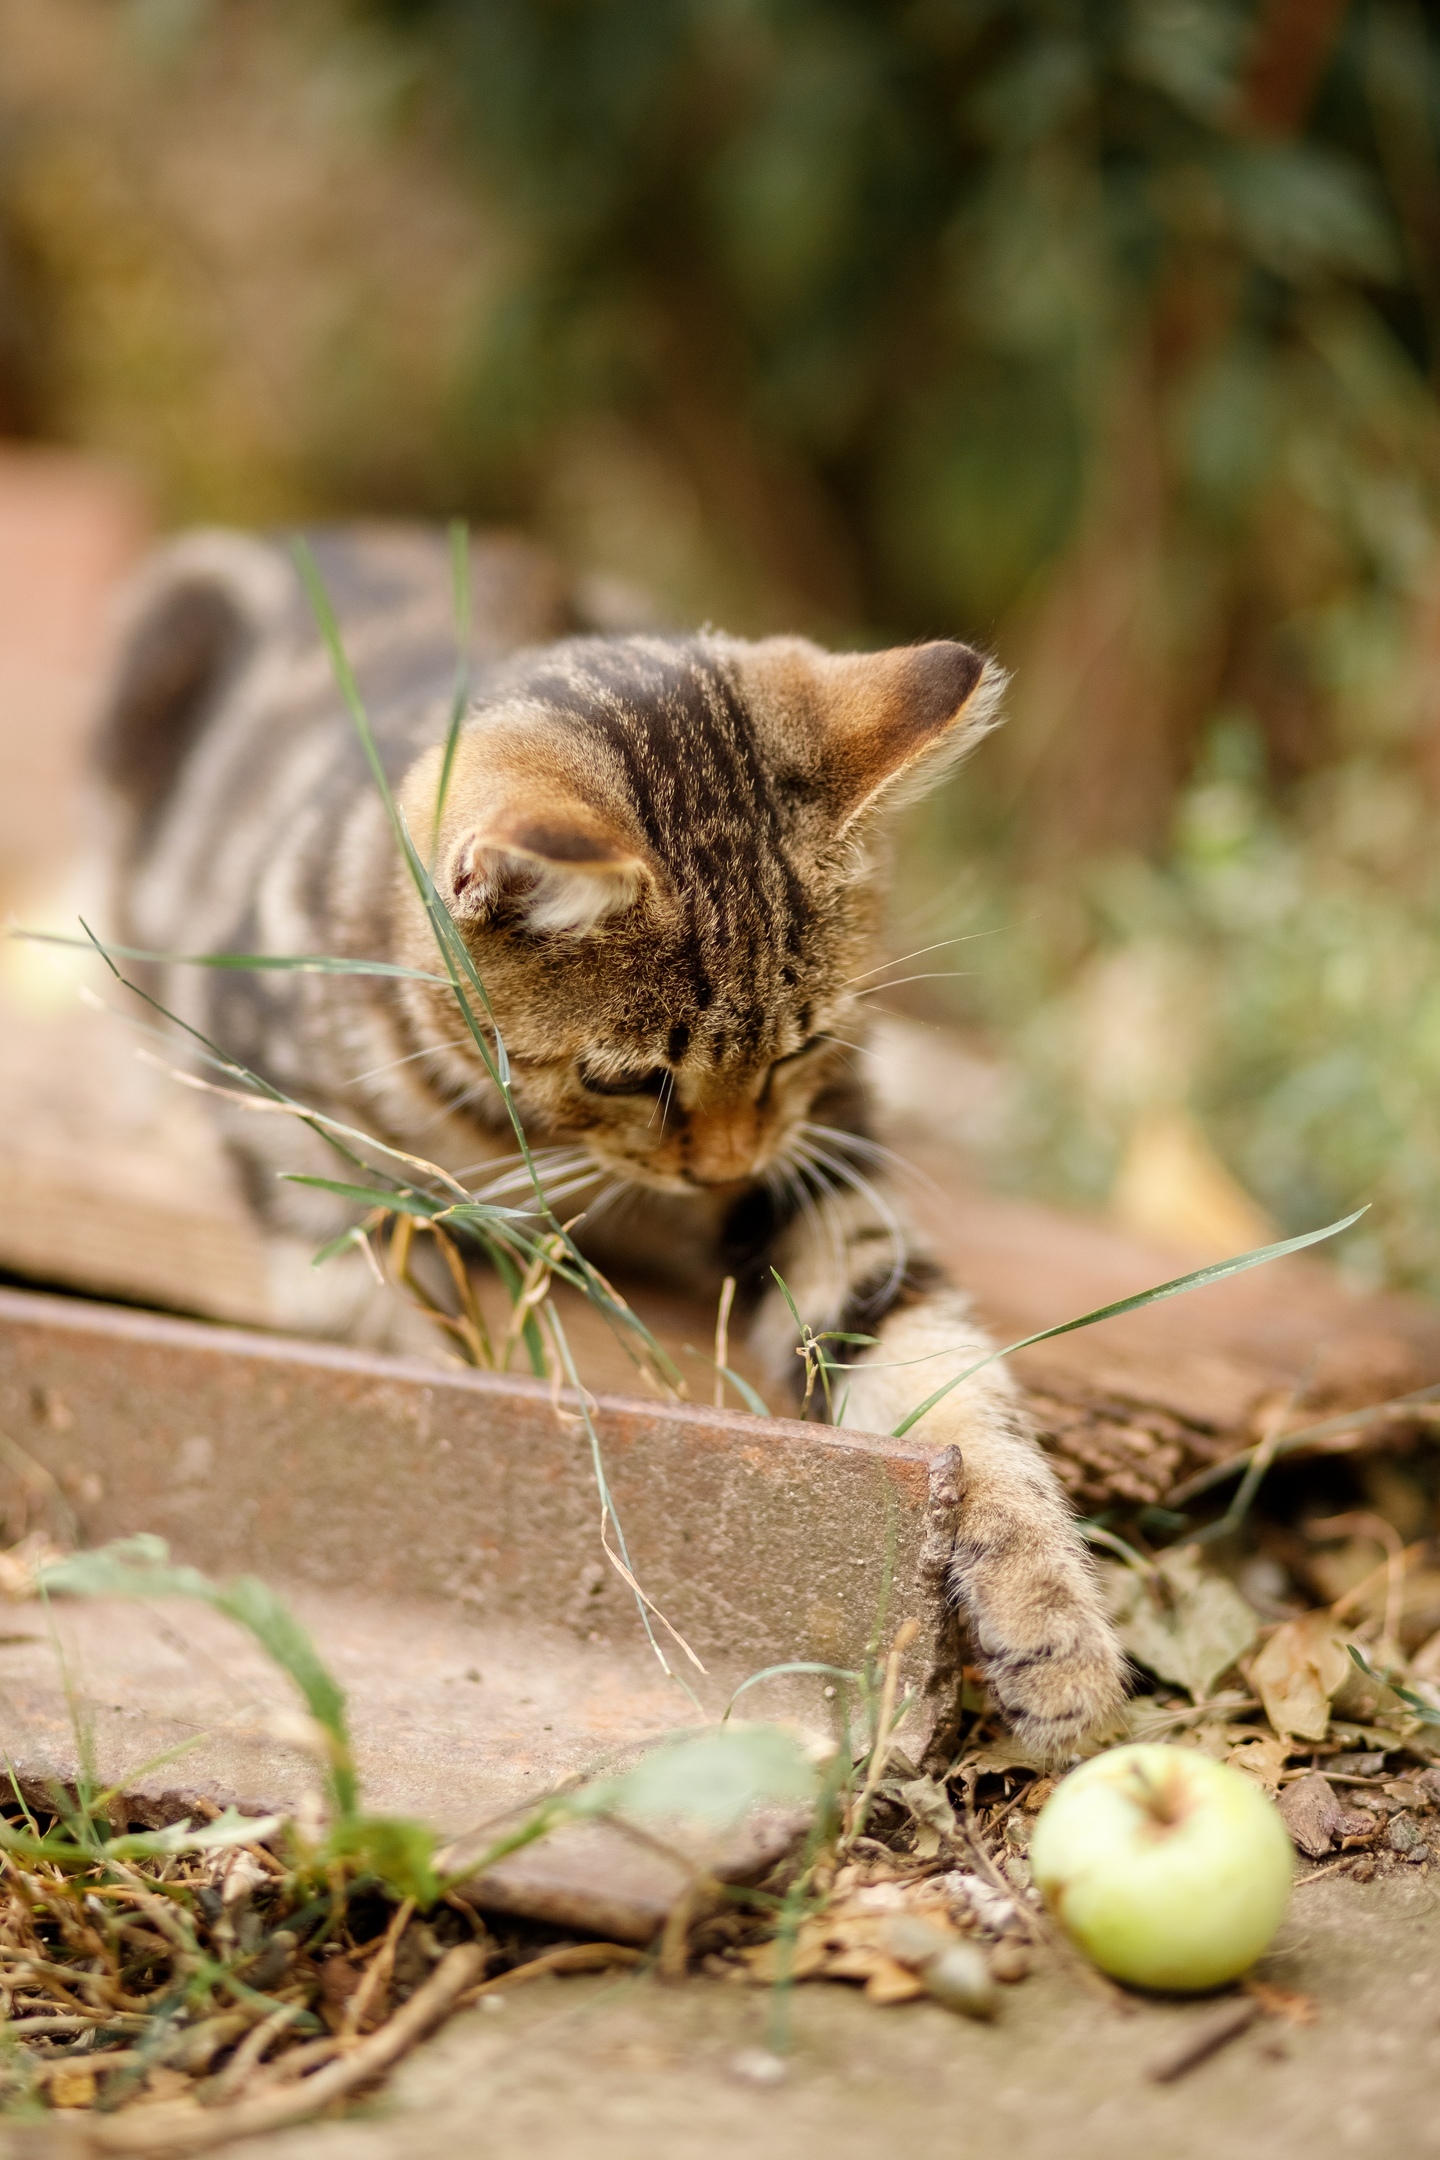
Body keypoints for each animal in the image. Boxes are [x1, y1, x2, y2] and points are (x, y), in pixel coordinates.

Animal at [98, 522, 1122, 1753]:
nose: (724, 1164)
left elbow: (941, 1374)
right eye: (633, 1077)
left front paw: (1051, 1620)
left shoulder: (823, 1162)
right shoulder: (281, 1116)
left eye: (799, 1047)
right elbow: (387, 1307)